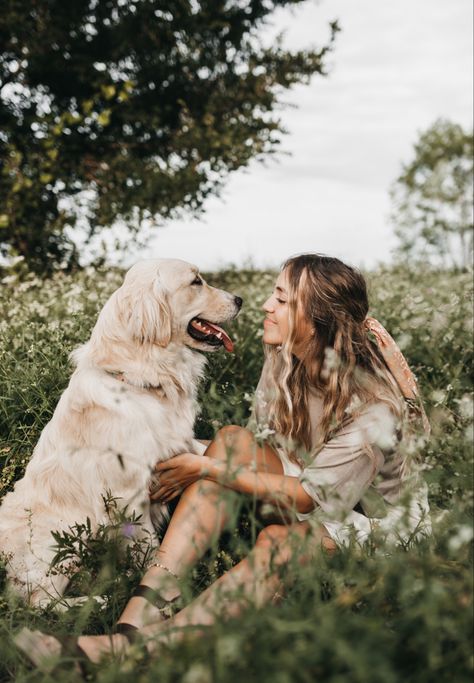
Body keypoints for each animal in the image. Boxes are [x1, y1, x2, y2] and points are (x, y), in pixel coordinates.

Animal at [0, 256, 241, 604]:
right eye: (196, 282)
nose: (240, 300)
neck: (142, 379)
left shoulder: (182, 445)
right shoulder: (130, 495)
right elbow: (148, 547)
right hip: (62, 539)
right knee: (44, 603)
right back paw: (98, 599)